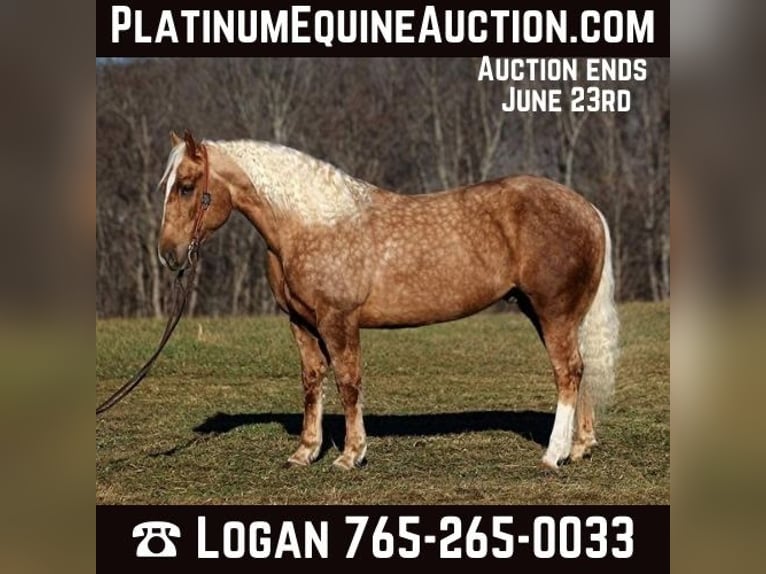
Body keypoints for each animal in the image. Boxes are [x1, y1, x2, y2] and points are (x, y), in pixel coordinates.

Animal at [158, 130, 619, 470]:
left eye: (186, 187)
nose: (169, 254)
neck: (310, 224)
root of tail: (589, 209)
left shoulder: (338, 320)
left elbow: (348, 382)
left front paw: (350, 455)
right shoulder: (301, 323)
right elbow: (312, 382)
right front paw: (305, 452)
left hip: (553, 312)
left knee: (568, 372)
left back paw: (554, 455)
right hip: (554, 314)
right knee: (580, 369)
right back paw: (580, 447)